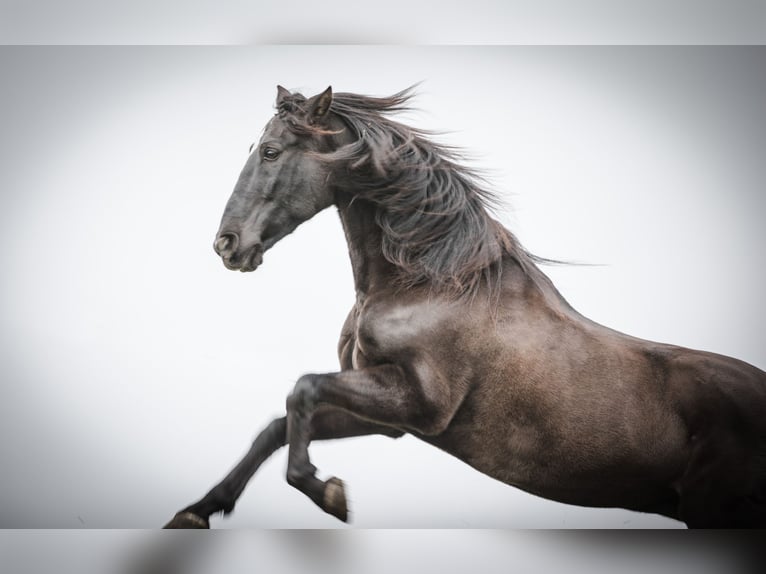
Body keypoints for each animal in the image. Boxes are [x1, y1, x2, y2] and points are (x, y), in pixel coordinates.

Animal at [166, 85, 766, 532]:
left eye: (270, 152)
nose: (226, 245)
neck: (430, 285)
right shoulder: (390, 419)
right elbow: (277, 424)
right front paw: (197, 512)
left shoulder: (421, 404)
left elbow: (302, 390)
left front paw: (328, 493)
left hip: (712, 511)